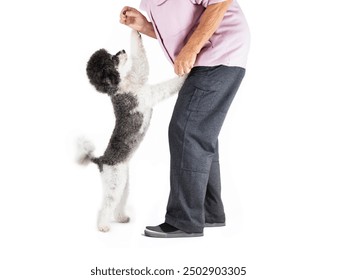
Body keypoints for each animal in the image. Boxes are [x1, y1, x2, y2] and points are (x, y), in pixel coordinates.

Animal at [76, 30, 185, 232]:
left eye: (110, 54)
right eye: (113, 59)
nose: (122, 50)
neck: (118, 88)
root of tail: (101, 161)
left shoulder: (139, 77)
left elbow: (141, 60)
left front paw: (135, 31)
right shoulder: (147, 95)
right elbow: (164, 85)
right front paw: (185, 75)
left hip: (124, 183)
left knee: (118, 203)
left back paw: (121, 218)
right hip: (114, 184)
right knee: (106, 205)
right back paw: (103, 226)